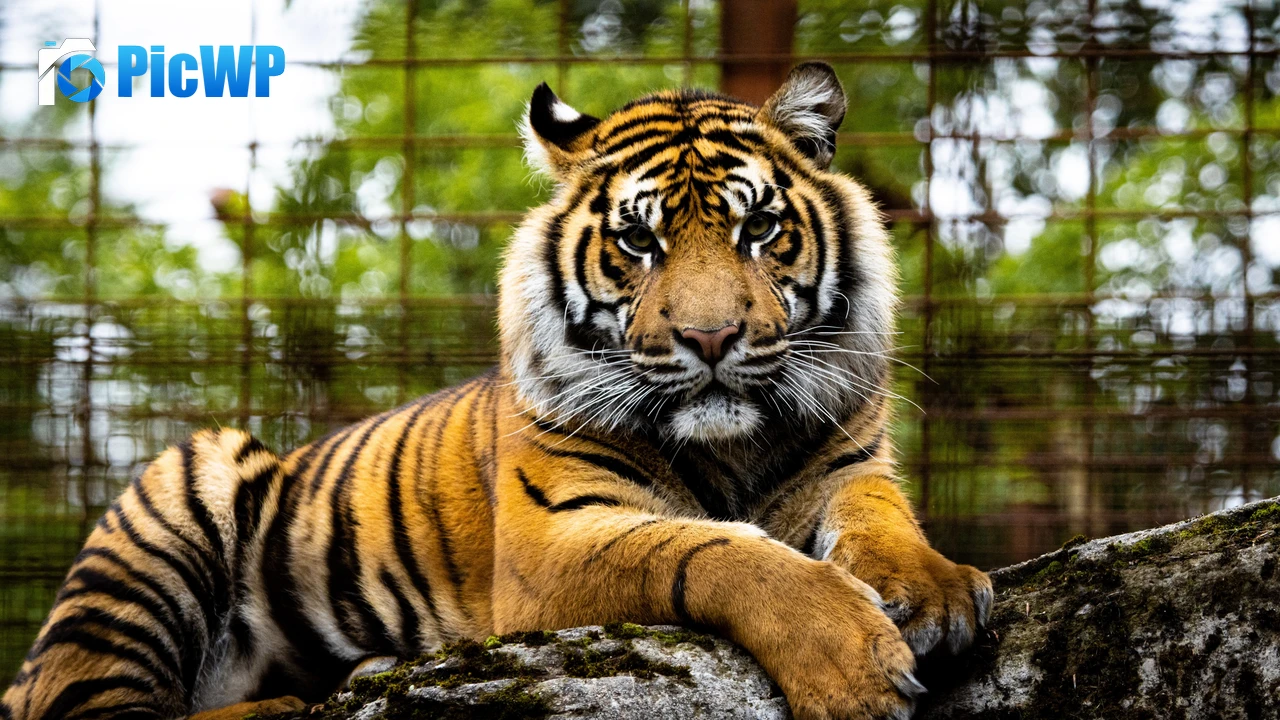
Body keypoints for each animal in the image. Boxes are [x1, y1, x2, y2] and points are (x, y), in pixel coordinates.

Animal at [2, 62, 993, 720]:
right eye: (639, 242)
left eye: (758, 229)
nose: (711, 339)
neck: (734, 442)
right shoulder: (553, 540)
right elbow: (715, 551)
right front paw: (852, 664)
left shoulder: (850, 465)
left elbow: (881, 521)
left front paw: (932, 590)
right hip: (178, 492)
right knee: (98, 712)